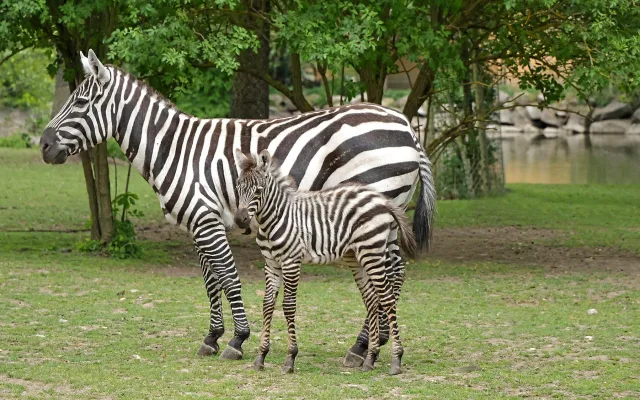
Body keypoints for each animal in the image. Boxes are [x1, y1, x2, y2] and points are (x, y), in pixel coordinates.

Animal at [234, 149, 417, 375]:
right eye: (238, 188)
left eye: (258, 191)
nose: (239, 220)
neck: (274, 220)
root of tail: (381, 199)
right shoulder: (271, 264)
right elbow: (267, 305)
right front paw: (261, 356)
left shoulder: (291, 262)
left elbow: (288, 306)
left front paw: (290, 359)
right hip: (357, 256)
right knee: (372, 300)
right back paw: (370, 358)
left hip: (372, 251)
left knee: (387, 299)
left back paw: (396, 360)